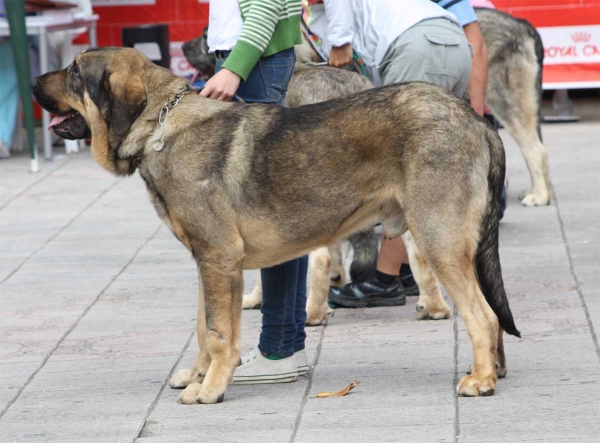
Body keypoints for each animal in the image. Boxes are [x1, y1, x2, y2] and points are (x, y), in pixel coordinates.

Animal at [31, 46, 520, 404]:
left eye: (74, 72)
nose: (33, 81)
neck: (161, 125)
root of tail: (476, 120)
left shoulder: (218, 260)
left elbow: (218, 333)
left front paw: (210, 388)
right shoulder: (208, 263)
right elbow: (204, 327)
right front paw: (200, 374)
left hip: (440, 241)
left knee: (482, 316)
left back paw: (479, 381)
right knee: (493, 314)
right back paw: (492, 370)